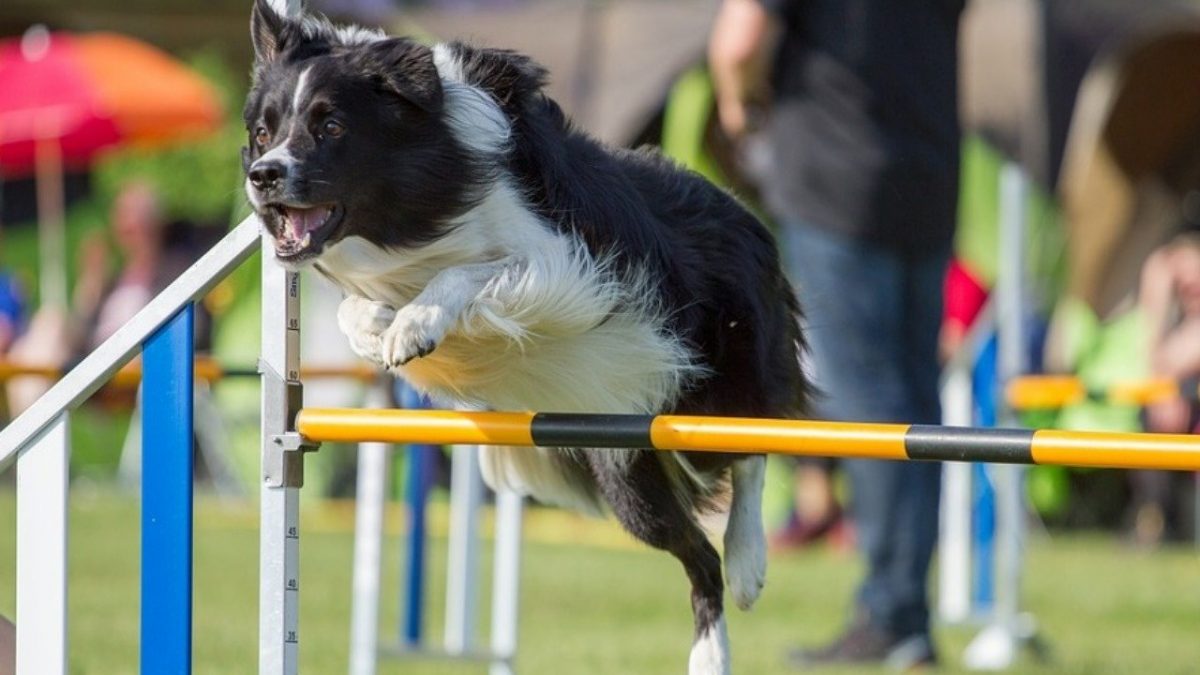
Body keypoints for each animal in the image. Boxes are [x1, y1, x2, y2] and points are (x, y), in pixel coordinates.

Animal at [241, 2, 806, 667]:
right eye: (262, 133)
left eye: (331, 126)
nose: (263, 177)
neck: (420, 204)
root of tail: (742, 209)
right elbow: (350, 309)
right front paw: (380, 326)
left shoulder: (564, 267)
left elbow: (473, 271)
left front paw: (415, 324)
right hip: (625, 465)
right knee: (697, 554)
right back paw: (713, 641)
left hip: (707, 389)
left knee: (751, 453)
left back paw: (746, 570)